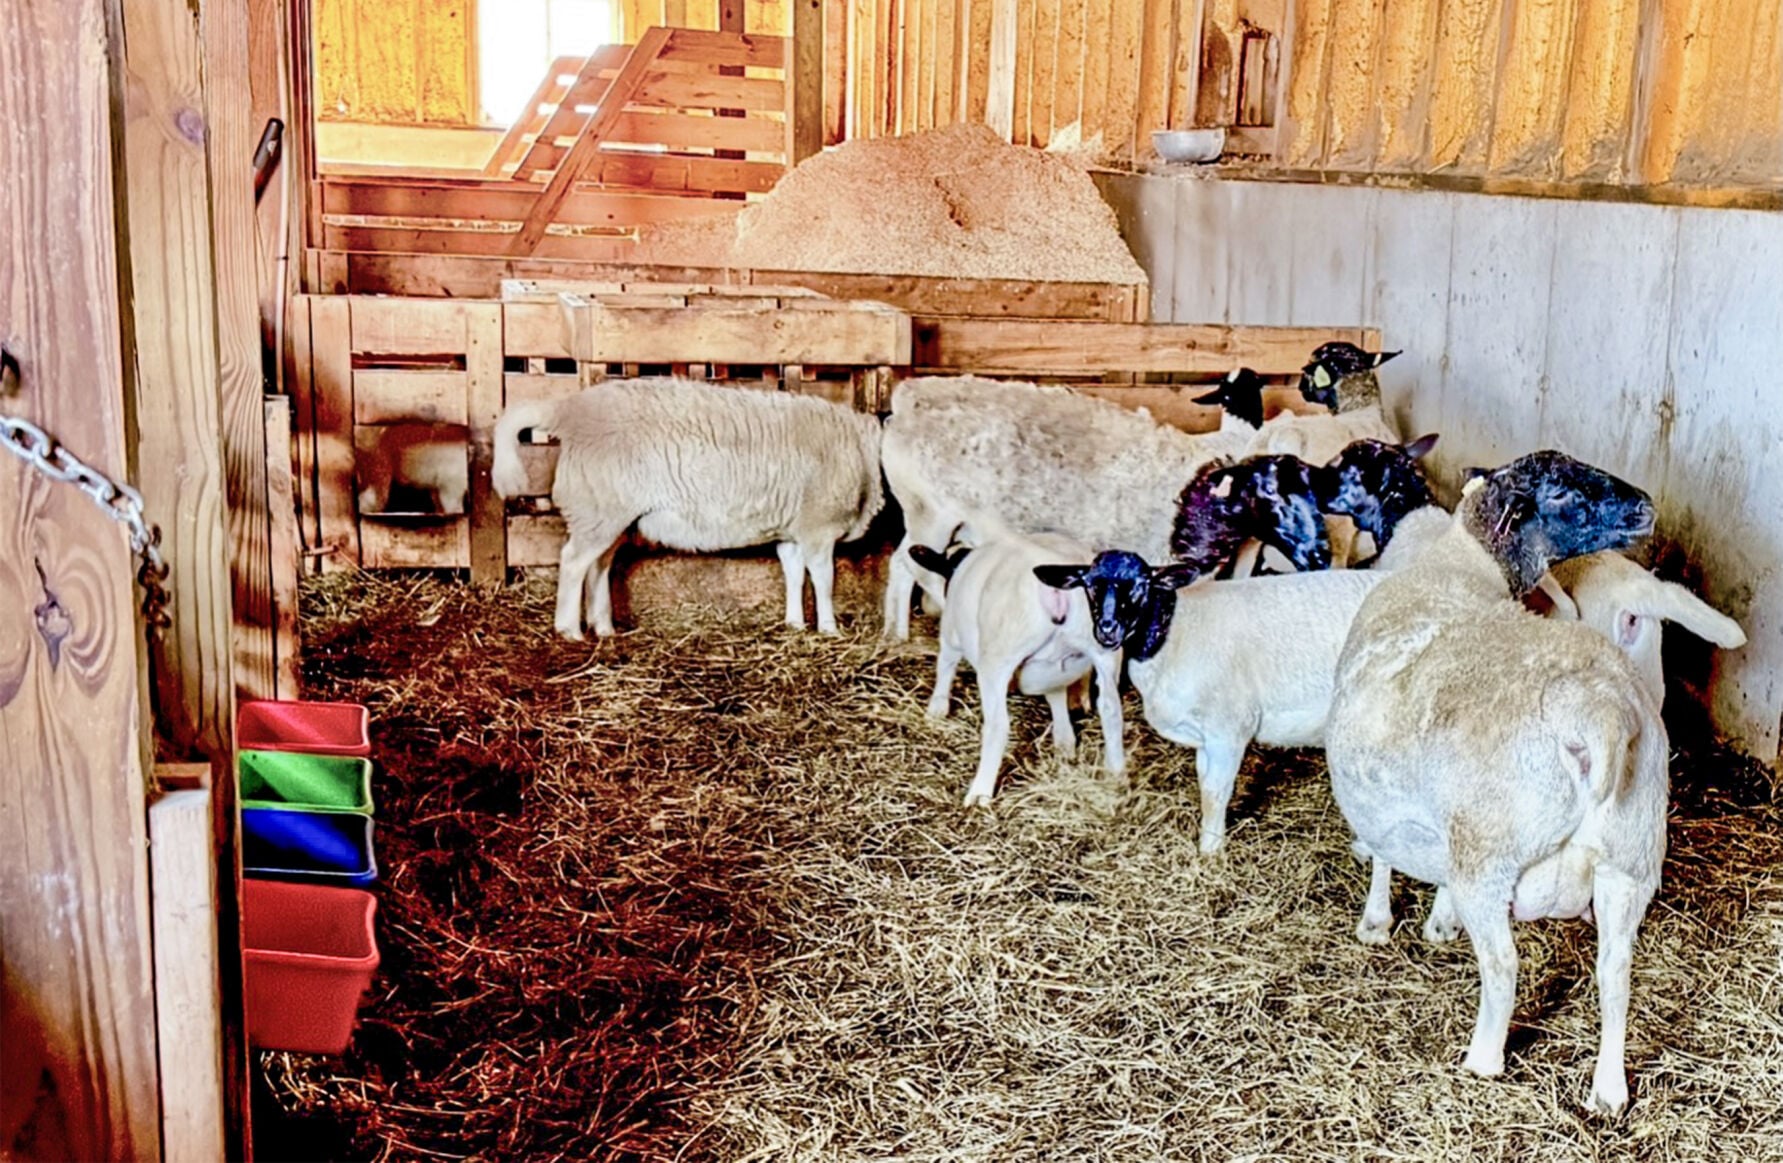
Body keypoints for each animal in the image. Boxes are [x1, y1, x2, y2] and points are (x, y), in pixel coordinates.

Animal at [491, 378, 884, 640]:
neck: (866, 451)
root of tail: (569, 411)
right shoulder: (818, 527)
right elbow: (824, 578)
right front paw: (829, 629)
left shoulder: (793, 529)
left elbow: (794, 573)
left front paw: (795, 624)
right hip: (599, 506)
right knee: (573, 562)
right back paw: (570, 630)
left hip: (610, 516)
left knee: (599, 565)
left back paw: (604, 628)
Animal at [909, 535, 1154, 807]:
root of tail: (1059, 592)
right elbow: (1057, 696)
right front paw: (1065, 742)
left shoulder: (951, 633)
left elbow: (946, 666)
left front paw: (937, 709)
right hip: (1107, 650)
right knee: (1111, 711)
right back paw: (1115, 774)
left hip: (998, 655)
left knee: (998, 725)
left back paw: (980, 792)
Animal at [1324, 450, 1663, 1115]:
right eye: (1562, 491)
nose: (1647, 506)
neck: (1458, 563)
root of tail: (1595, 710)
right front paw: (1436, 920)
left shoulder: (1396, 807)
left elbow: (1382, 850)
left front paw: (1379, 923)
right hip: (1630, 860)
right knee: (1616, 973)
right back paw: (1609, 1090)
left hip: (1492, 853)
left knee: (1504, 966)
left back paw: (1483, 1059)